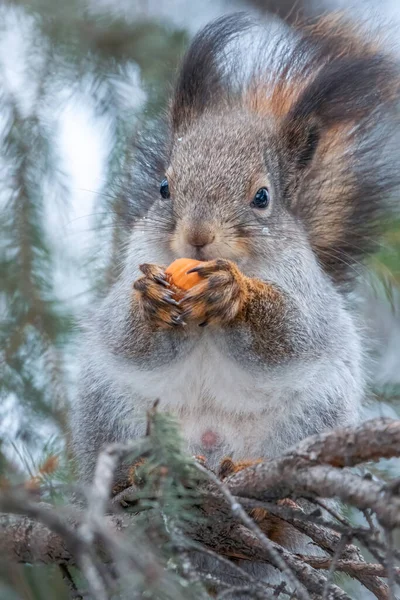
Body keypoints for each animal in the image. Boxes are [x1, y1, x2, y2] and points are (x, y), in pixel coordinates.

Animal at [72, 9, 400, 536]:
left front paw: (235, 293)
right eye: (164, 187)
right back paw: (140, 472)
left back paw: (266, 494)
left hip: (313, 416)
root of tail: (209, 449)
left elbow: (293, 333)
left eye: (262, 197)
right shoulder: (132, 264)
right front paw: (148, 298)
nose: (197, 237)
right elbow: (126, 334)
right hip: (108, 408)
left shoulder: (306, 290)